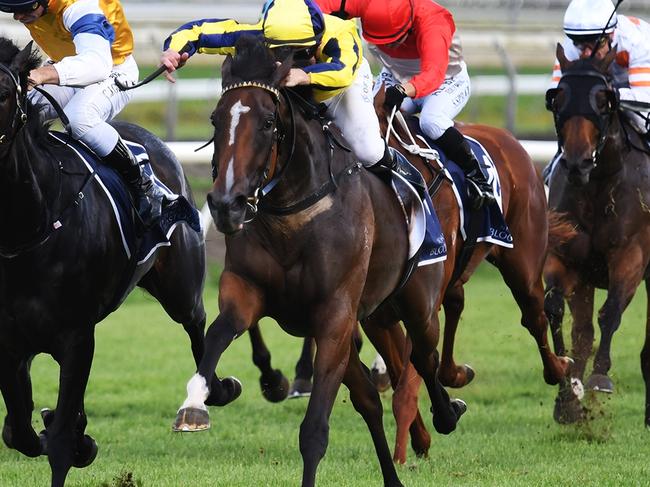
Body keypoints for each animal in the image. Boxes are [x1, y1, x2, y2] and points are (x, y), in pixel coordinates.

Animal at [0, 40, 211, 486]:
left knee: (198, 324)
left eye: (6, 93)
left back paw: (204, 400)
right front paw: (63, 429)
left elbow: (61, 438)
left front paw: (75, 439)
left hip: (181, 287)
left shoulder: (77, 336)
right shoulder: (9, 343)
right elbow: (21, 430)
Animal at [170, 38, 464, 487]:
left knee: (425, 356)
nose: (225, 205)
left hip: (417, 303)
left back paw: (447, 413)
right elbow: (219, 332)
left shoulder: (334, 316)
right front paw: (197, 401)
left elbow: (314, 431)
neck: (292, 217)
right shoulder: (245, 289)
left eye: (269, 122)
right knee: (370, 400)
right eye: (216, 119)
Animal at [540, 45, 648, 428]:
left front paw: (599, 378)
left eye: (603, 100)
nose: (578, 163)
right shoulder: (567, 260)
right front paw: (567, 393)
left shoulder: (631, 256)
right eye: (558, 99)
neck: (599, 185)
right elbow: (556, 310)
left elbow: (610, 312)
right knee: (583, 330)